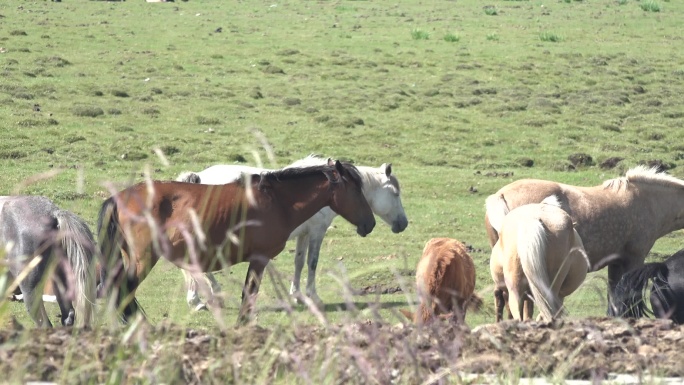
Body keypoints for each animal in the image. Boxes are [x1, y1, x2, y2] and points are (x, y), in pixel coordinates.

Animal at [97, 160, 376, 322]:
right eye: (356, 190)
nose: (370, 224)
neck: (278, 201)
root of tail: (119, 197)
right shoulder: (259, 259)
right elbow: (249, 296)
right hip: (143, 259)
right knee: (124, 290)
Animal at [176, 153, 408, 308]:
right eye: (395, 193)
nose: (404, 224)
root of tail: (197, 177)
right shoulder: (317, 232)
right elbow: (312, 263)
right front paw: (313, 296)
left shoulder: (303, 234)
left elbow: (299, 262)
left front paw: (297, 295)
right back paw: (202, 298)